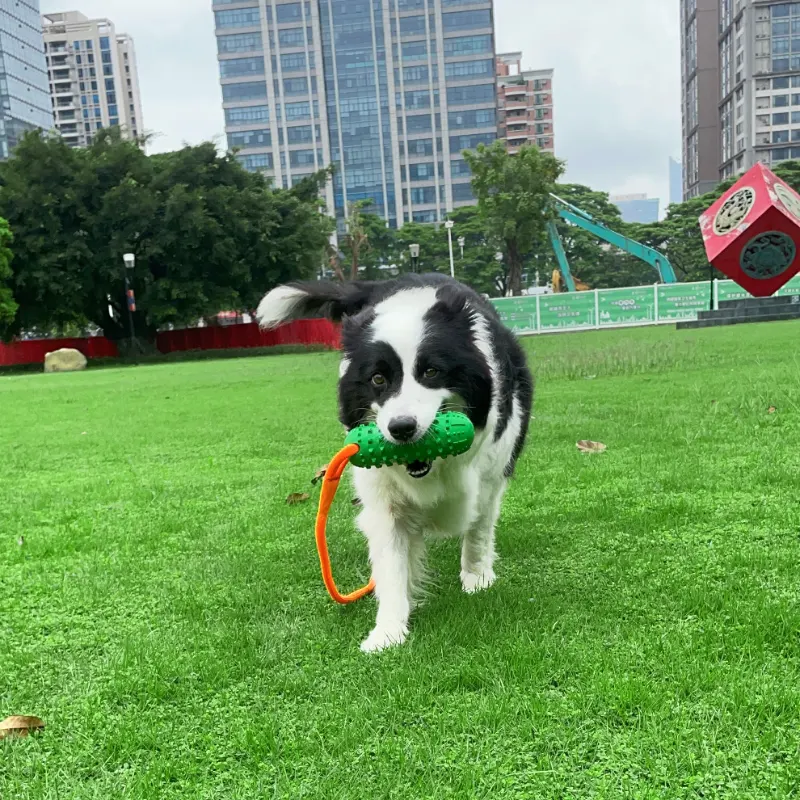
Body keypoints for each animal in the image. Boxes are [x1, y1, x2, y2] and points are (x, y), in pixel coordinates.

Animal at [257, 274, 533, 652]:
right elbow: (390, 563)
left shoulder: (491, 477)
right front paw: (388, 630)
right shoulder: (384, 498)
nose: (401, 428)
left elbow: (478, 530)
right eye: (378, 379)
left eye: (431, 371)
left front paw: (476, 578)